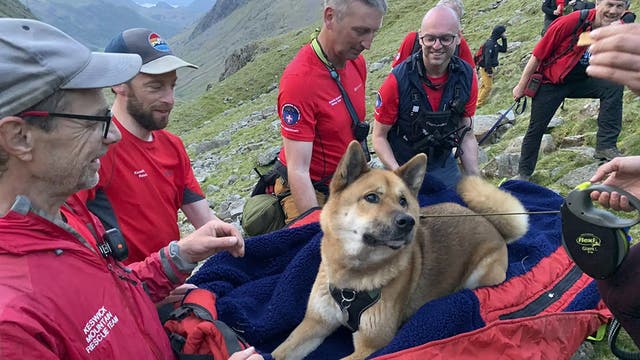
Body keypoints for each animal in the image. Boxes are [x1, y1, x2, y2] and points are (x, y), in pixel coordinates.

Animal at [272, 141, 528, 360]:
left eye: (403, 201)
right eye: (371, 197)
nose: (408, 222)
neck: (352, 280)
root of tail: (489, 223)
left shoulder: (371, 345)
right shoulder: (315, 323)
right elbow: (280, 351)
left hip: (482, 275)